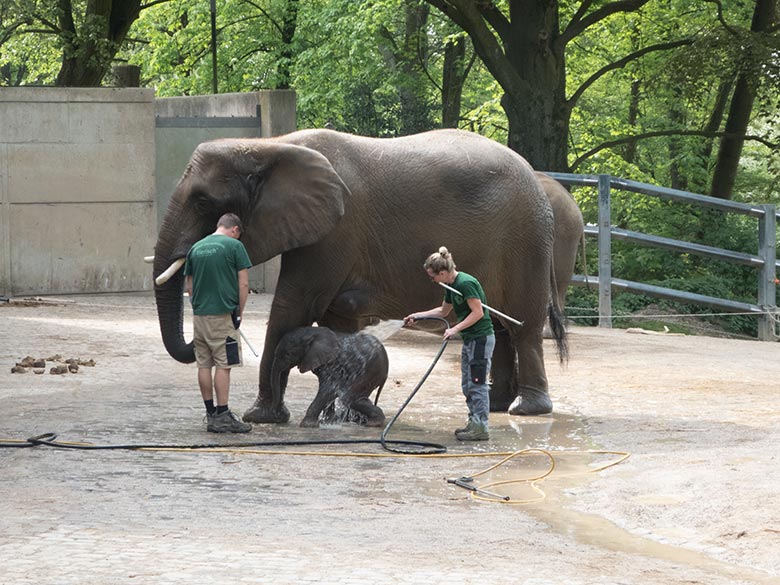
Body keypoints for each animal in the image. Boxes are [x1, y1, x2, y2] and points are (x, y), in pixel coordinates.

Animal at [154, 129, 568, 420]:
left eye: (202, 202)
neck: (267, 146)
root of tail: (539, 183)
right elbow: (334, 319)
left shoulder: (337, 230)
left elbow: (294, 306)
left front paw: (260, 418)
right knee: (499, 327)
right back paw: (498, 405)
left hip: (526, 241)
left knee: (523, 327)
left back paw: (526, 409)